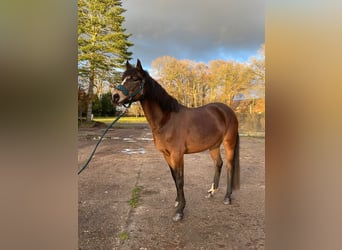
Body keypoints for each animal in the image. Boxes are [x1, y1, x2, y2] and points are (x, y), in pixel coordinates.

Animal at [111, 59, 239, 221]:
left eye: (135, 79)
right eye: (123, 78)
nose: (115, 96)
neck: (166, 120)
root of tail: (227, 111)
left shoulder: (177, 155)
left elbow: (180, 179)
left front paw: (180, 210)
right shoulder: (167, 155)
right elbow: (173, 178)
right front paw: (178, 201)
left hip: (229, 143)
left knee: (229, 166)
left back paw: (227, 197)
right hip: (213, 146)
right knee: (218, 164)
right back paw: (211, 191)